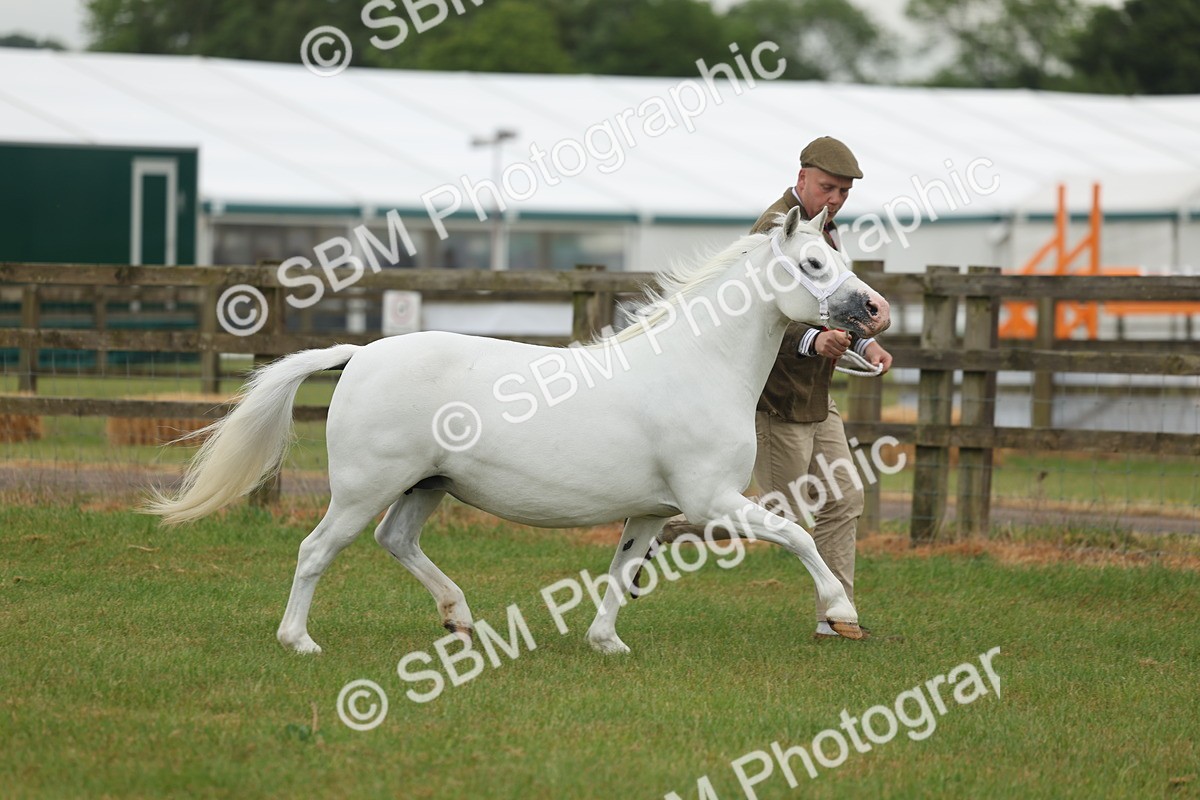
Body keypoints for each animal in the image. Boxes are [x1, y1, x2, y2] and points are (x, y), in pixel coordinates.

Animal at [147, 206, 890, 655]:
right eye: (815, 264)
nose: (876, 311)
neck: (696, 366)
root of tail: (360, 354)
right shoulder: (714, 504)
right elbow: (798, 535)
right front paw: (842, 610)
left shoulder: (654, 512)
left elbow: (622, 571)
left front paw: (605, 642)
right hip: (364, 488)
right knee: (315, 550)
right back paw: (299, 640)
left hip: (426, 485)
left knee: (396, 541)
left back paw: (459, 617)